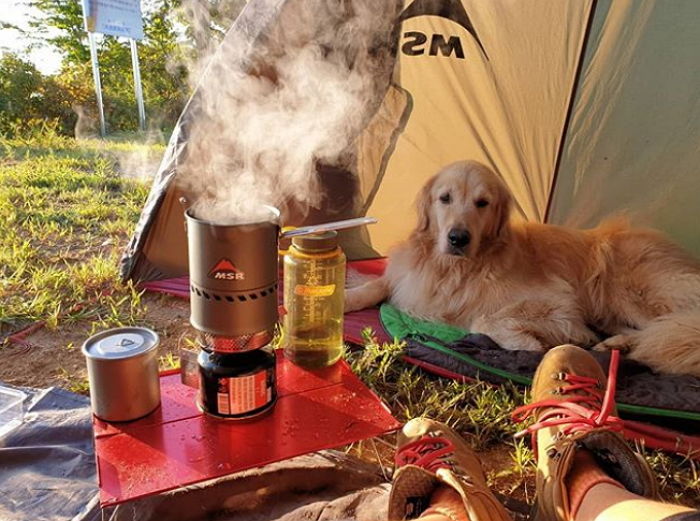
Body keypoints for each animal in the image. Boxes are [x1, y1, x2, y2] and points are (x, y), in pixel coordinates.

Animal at [346, 160, 700, 377]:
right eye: (444, 198)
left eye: (482, 203)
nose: (458, 238)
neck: (452, 269)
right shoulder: (406, 280)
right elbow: (376, 285)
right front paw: (347, 298)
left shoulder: (558, 300)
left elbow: (484, 319)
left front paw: (531, 345)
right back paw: (615, 345)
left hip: (624, 286)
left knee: (665, 328)